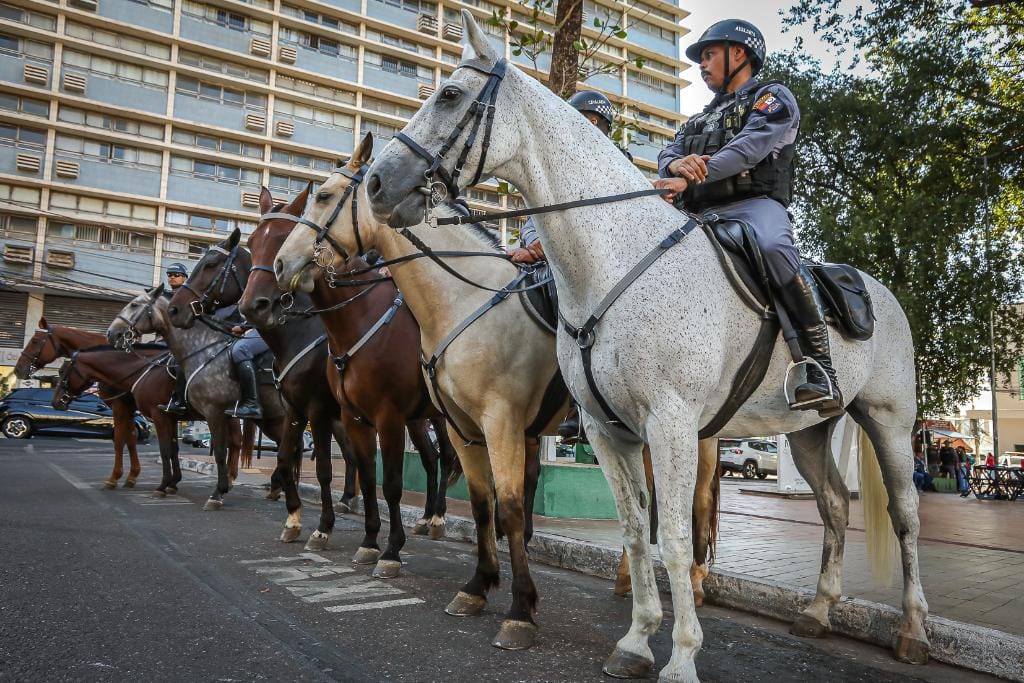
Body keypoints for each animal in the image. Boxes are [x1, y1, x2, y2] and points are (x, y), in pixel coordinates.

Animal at [16, 321, 144, 489]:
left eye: (35, 341)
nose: (18, 369)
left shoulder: (120, 406)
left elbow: (119, 439)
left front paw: (115, 477)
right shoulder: (127, 408)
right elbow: (131, 438)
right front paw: (132, 475)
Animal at [240, 183, 456, 577]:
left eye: (281, 238)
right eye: (252, 242)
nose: (254, 305)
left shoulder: (341, 414)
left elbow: (357, 476)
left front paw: (381, 546)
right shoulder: (313, 413)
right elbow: (302, 461)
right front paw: (304, 522)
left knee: (450, 458)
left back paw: (437, 520)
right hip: (420, 418)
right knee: (433, 459)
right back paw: (428, 519)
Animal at [360, 10, 929, 683]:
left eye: (448, 95)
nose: (377, 183)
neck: (612, 261)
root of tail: (877, 289)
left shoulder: (671, 423)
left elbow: (675, 538)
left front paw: (681, 655)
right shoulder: (609, 431)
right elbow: (635, 530)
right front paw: (636, 640)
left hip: (888, 420)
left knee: (905, 516)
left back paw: (913, 630)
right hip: (810, 429)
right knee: (836, 507)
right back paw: (818, 610)